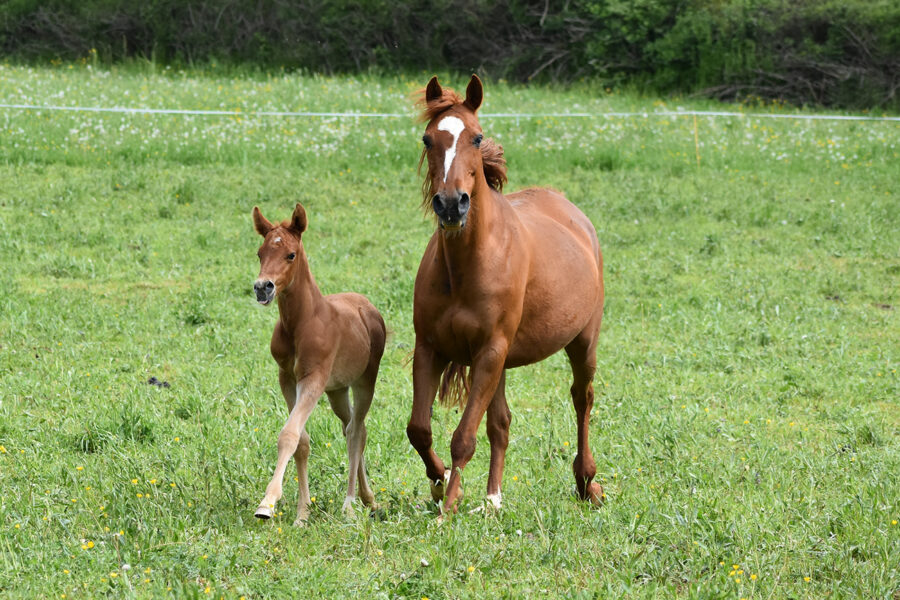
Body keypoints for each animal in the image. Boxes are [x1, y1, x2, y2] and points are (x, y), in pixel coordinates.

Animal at [251, 203, 384, 524]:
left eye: (290, 254)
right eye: (260, 253)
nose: (262, 287)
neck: (301, 323)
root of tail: (368, 306)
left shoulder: (314, 378)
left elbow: (288, 434)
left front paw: (267, 503)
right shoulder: (287, 378)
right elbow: (300, 440)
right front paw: (302, 514)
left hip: (365, 381)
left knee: (355, 432)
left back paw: (350, 504)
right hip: (337, 391)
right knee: (353, 427)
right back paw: (368, 498)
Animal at [406, 75, 604, 516]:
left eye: (477, 138)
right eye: (428, 139)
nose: (451, 204)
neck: (466, 267)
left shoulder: (490, 351)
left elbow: (463, 437)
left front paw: (450, 505)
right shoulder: (431, 348)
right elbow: (420, 430)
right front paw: (440, 483)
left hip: (581, 343)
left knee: (581, 400)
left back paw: (587, 482)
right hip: (501, 363)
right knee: (500, 424)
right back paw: (493, 498)